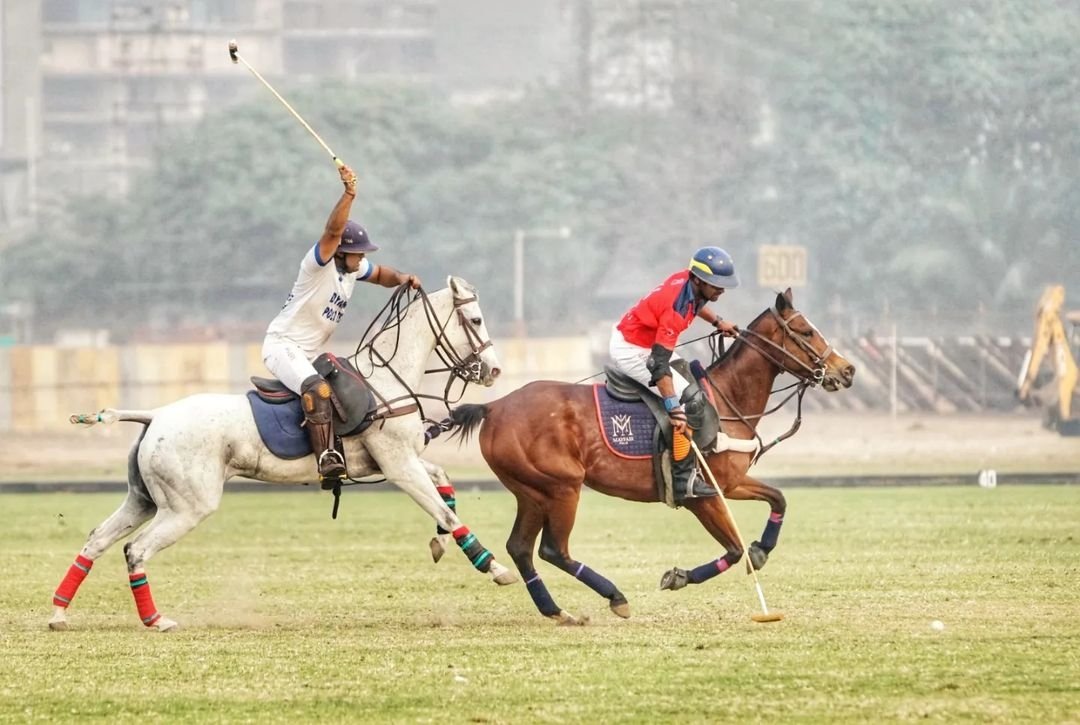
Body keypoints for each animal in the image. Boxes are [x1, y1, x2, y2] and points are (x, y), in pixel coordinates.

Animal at [49, 276, 516, 632]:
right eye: (475, 319)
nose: (493, 370)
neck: (385, 380)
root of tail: (156, 415)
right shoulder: (398, 465)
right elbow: (446, 511)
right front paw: (494, 567)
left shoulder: (398, 461)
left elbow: (443, 485)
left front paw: (439, 544)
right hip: (187, 506)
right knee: (136, 550)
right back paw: (156, 620)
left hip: (143, 499)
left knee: (97, 540)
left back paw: (59, 613)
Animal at [449, 288, 856, 624]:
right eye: (804, 331)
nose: (847, 370)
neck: (726, 399)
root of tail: (494, 407)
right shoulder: (701, 496)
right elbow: (734, 548)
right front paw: (680, 576)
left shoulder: (731, 483)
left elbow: (778, 500)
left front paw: (761, 550)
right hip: (561, 487)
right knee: (553, 549)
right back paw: (615, 597)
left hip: (531, 492)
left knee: (520, 547)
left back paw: (556, 610)